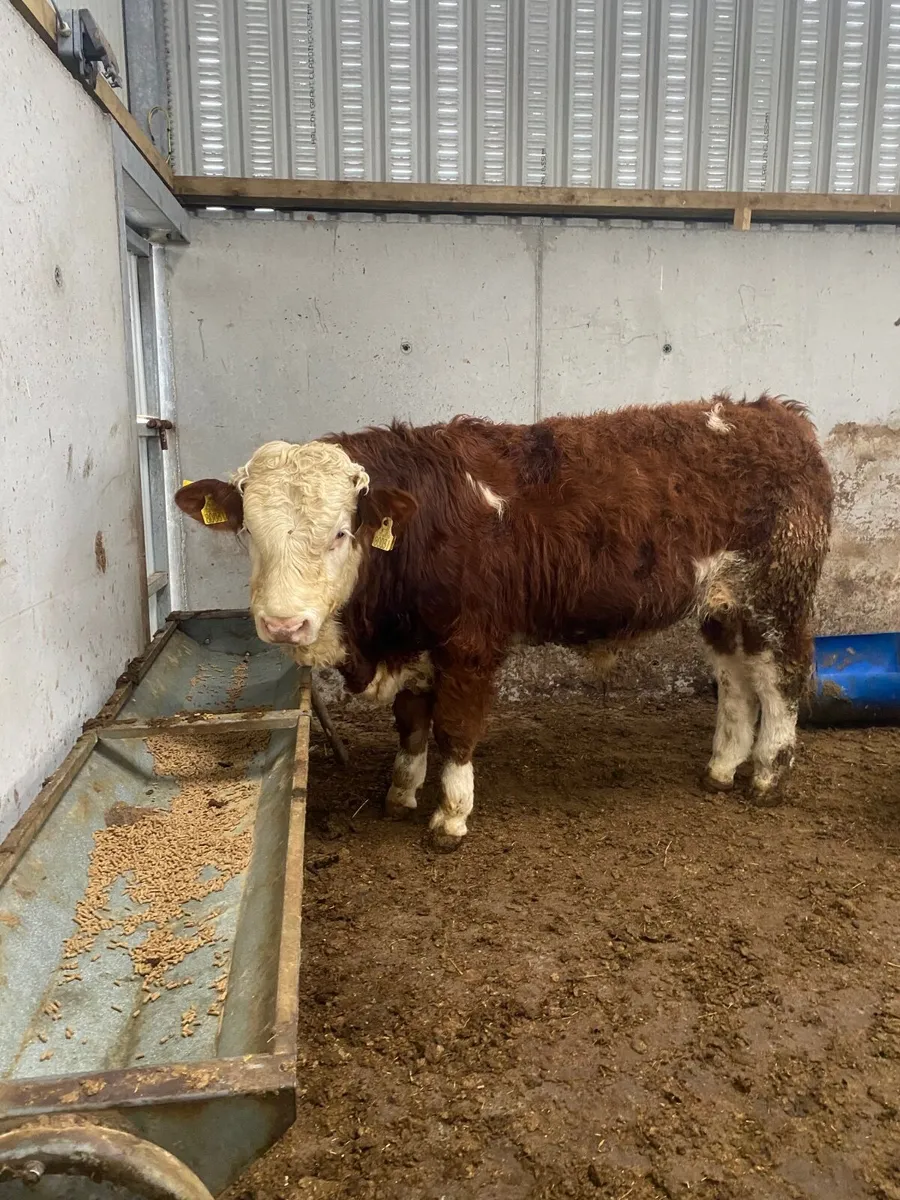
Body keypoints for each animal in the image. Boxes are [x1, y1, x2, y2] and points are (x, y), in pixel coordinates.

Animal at [176, 395, 833, 851]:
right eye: (249, 532)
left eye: (341, 533)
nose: (284, 624)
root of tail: (776, 415)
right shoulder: (416, 644)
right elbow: (411, 723)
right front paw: (401, 792)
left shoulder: (471, 641)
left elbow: (455, 728)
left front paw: (450, 816)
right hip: (724, 606)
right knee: (736, 680)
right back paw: (722, 769)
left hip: (778, 595)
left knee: (781, 679)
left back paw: (768, 777)